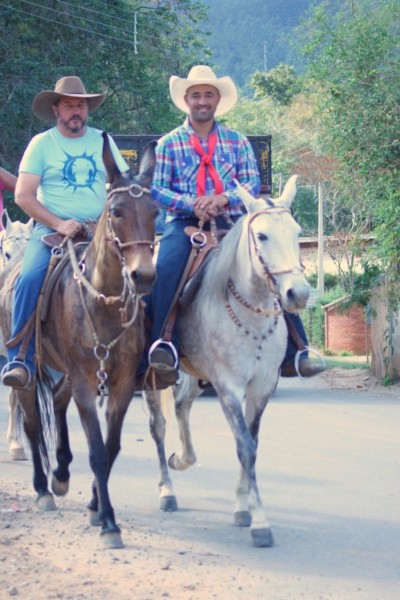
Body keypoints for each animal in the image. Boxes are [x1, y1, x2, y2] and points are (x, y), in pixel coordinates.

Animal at [0, 135, 159, 548]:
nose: (143, 276)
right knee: (31, 419)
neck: (102, 300)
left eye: (155, 210)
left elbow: (111, 446)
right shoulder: (87, 382)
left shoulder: (121, 382)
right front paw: (109, 523)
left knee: (56, 404)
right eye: (116, 211)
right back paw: (43, 487)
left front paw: (95, 506)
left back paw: (60, 474)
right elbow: (98, 450)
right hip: (28, 365)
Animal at [144, 176, 310, 548]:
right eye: (261, 236)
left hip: (195, 373)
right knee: (158, 425)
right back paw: (166, 491)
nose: (298, 293)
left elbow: (251, 443)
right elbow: (245, 446)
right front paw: (260, 522)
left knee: (181, 405)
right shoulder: (229, 387)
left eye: (297, 232)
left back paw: (183, 458)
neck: (252, 315)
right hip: (152, 375)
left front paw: (242, 506)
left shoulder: (261, 388)